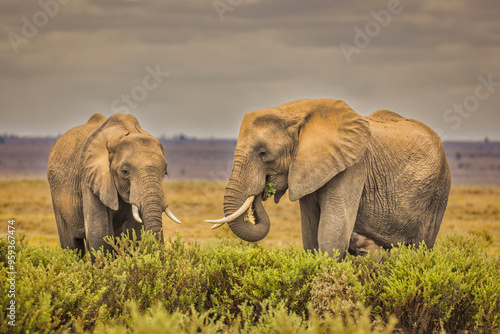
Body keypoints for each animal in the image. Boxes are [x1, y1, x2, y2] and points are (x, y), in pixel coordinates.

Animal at [47, 113, 182, 260]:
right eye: (125, 171)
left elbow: (132, 235)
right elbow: (99, 236)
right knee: (72, 246)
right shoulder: (89, 177)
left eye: (165, 172)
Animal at [205, 98, 452, 260]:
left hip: (439, 190)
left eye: (263, 153)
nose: (262, 190)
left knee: (421, 248)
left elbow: (331, 238)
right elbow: (311, 238)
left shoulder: (354, 167)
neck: (294, 112)